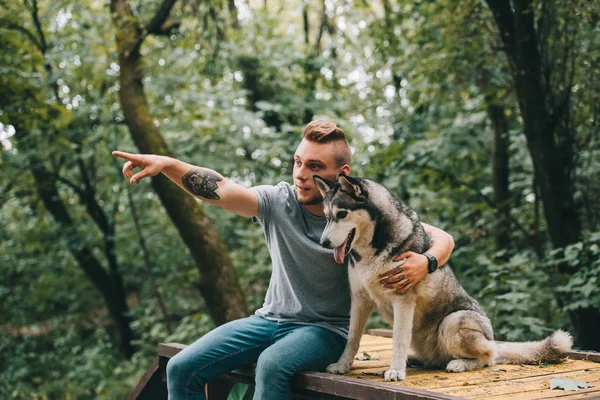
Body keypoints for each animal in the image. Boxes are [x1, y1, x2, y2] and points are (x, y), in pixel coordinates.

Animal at [314, 173, 572, 382]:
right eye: (326, 216)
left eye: (342, 214)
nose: (323, 242)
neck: (373, 247)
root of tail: (491, 337)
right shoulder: (360, 298)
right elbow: (353, 338)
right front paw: (343, 365)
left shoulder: (402, 299)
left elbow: (397, 339)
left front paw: (395, 371)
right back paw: (418, 360)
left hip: (453, 322)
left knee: (490, 357)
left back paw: (459, 363)